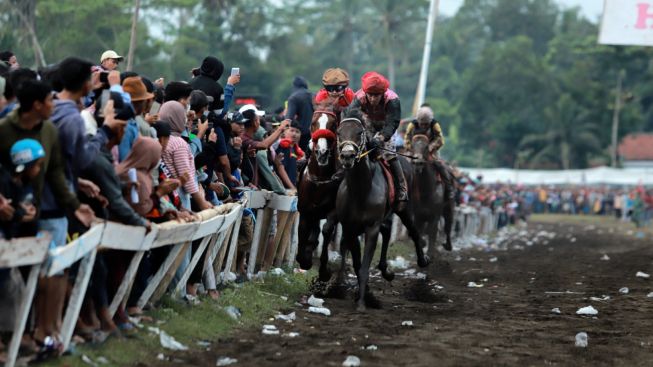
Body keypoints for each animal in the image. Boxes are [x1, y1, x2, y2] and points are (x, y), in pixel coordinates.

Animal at [334, 108, 430, 310]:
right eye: (339, 132)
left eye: (359, 132)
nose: (347, 156)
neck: (361, 189)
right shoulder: (351, 227)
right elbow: (357, 263)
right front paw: (362, 295)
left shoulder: (371, 226)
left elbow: (363, 267)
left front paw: (362, 302)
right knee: (386, 232)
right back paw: (385, 270)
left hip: (404, 207)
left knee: (413, 231)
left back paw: (422, 259)